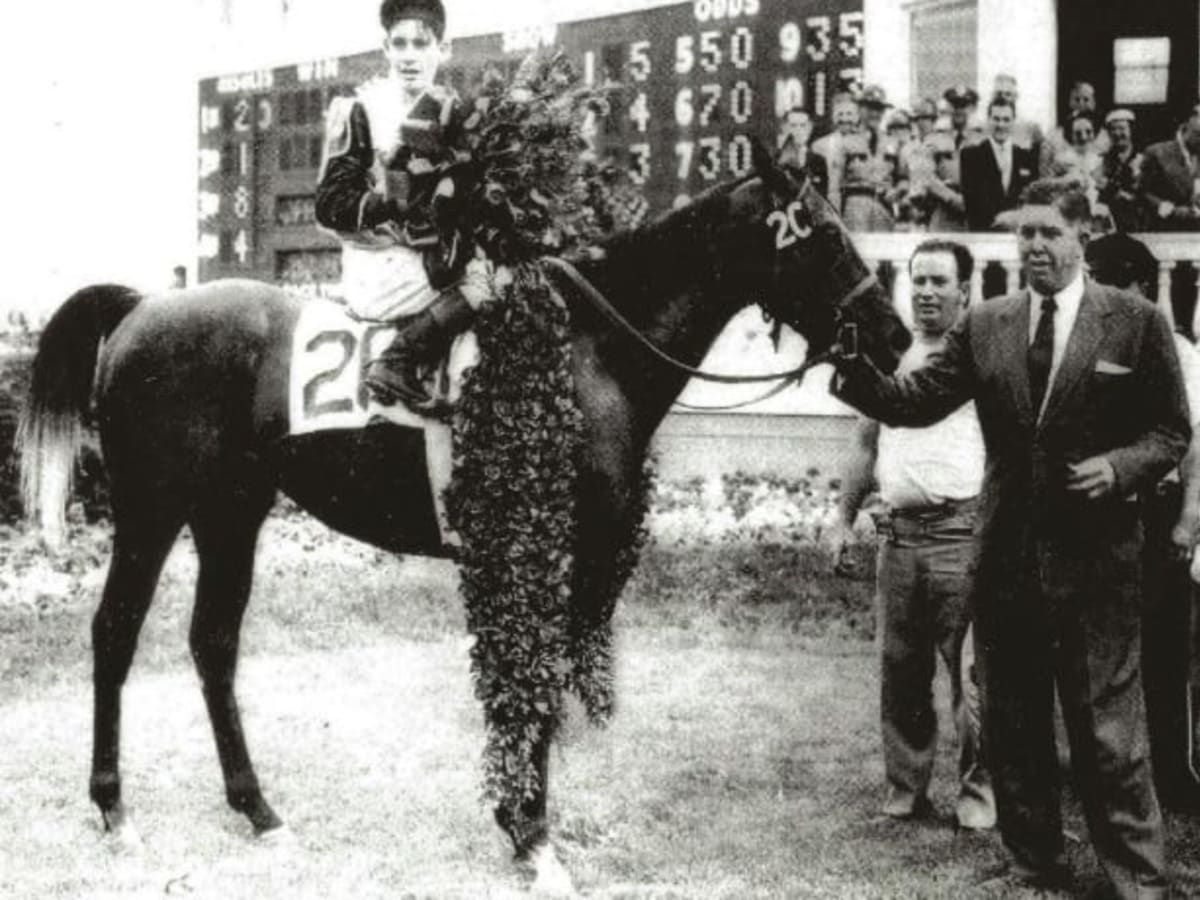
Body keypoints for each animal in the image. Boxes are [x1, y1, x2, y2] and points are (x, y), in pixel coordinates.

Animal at [18, 146, 907, 888]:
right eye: (827, 237)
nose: (895, 336)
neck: (588, 348)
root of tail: (143, 307)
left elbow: (542, 689)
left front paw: (525, 825)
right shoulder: (542, 548)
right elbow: (534, 687)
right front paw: (534, 839)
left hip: (231, 511)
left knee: (213, 643)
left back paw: (259, 810)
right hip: (152, 507)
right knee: (115, 631)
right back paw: (113, 808)